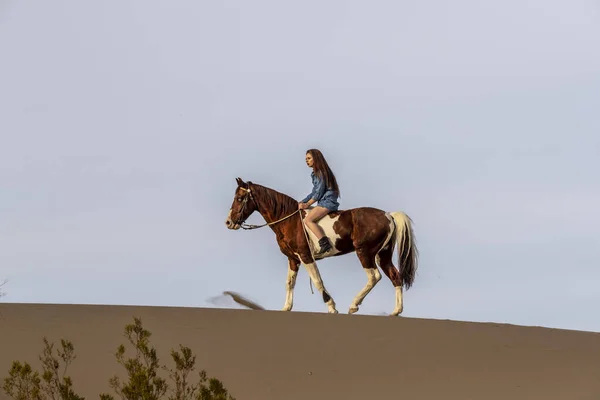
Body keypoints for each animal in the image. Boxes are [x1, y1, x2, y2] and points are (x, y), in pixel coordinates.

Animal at [224, 177, 418, 316]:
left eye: (240, 198)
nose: (229, 222)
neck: (289, 220)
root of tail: (388, 215)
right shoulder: (293, 259)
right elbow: (289, 283)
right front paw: (286, 308)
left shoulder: (305, 256)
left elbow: (317, 281)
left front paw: (332, 307)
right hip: (382, 255)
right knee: (395, 276)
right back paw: (395, 311)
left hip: (365, 253)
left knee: (374, 277)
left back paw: (354, 305)